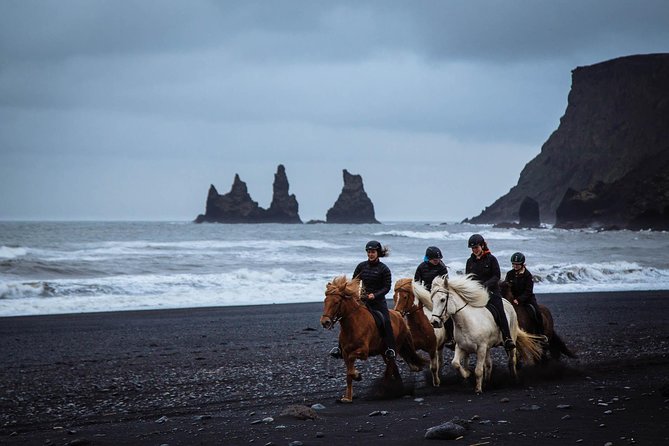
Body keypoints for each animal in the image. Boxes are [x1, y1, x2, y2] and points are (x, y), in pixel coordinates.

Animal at [318, 274, 422, 402]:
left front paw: (357, 375)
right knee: (394, 367)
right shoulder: (345, 353)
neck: (353, 325)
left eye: (337, 302)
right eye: (325, 301)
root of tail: (399, 315)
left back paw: (383, 392)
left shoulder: (363, 352)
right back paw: (398, 390)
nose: (325, 322)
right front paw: (347, 398)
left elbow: (351, 368)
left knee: (390, 367)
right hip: (383, 352)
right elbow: (348, 374)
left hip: (395, 348)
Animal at [412, 276, 544, 394]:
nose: (434, 322)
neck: (466, 323)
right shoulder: (461, 347)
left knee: (512, 361)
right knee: (489, 364)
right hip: (488, 347)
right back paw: (487, 382)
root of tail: (508, 302)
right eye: (432, 300)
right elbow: (455, 363)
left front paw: (478, 389)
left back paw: (514, 380)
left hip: (510, 341)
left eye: (443, 300)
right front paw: (467, 374)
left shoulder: (481, 348)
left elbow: (478, 370)